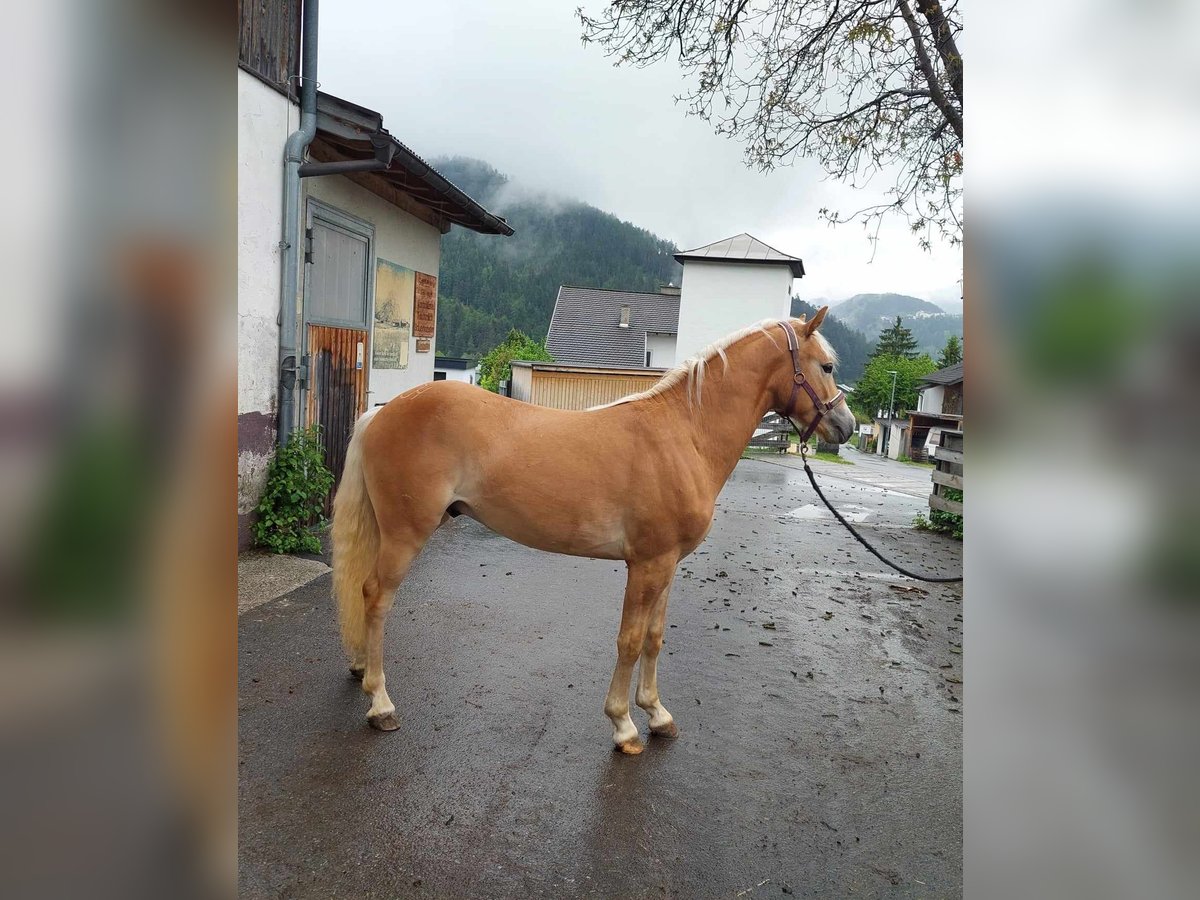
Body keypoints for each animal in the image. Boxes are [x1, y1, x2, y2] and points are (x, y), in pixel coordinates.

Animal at [328, 309, 854, 753]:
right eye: (826, 366)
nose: (846, 426)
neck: (684, 435)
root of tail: (383, 411)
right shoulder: (646, 564)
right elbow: (629, 639)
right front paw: (624, 726)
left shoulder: (667, 564)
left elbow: (654, 637)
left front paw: (657, 714)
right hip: (405, 534)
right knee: (375, 598)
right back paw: (381, 704)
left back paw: (360, 669)